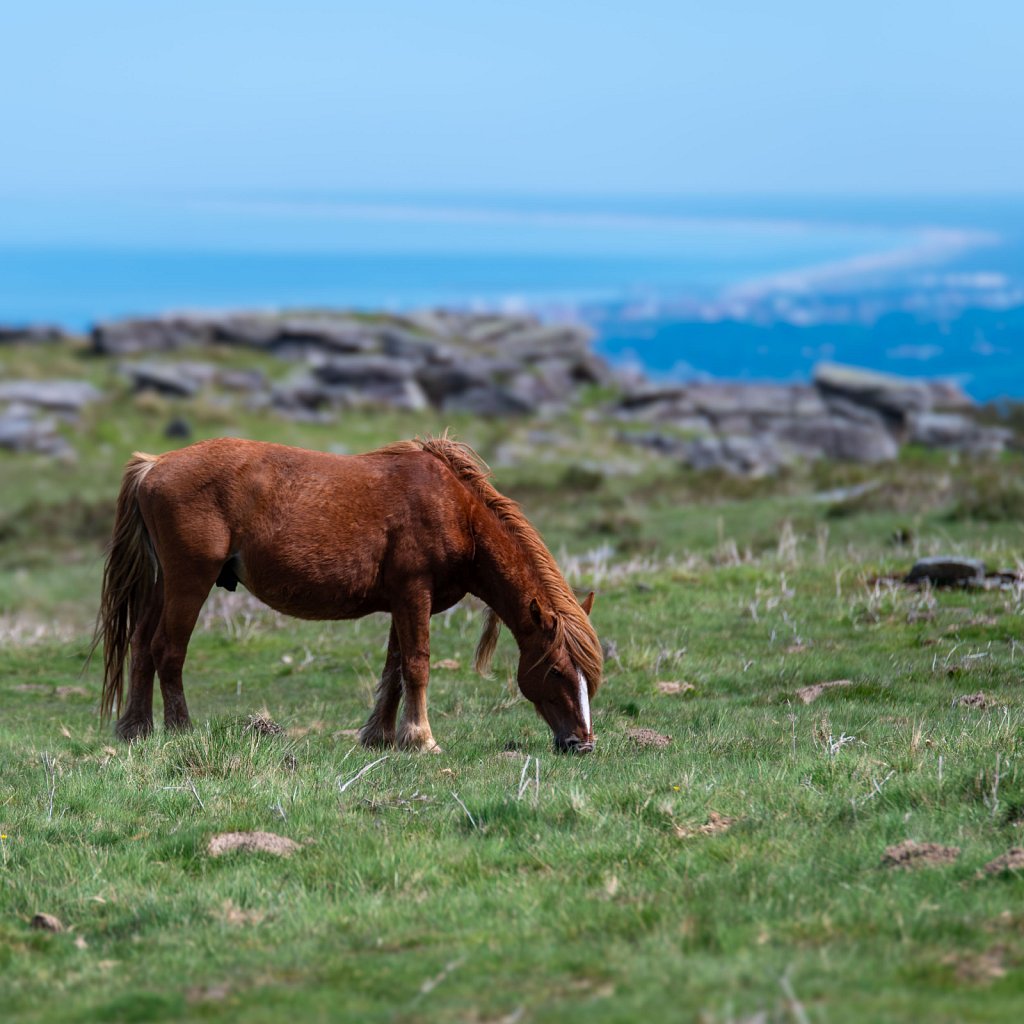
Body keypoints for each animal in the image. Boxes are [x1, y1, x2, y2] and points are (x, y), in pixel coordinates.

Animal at [96, 434, 598, 753]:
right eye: (556, 670)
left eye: (590, 679)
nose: (582, 743)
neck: (456, 510)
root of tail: (154, 465)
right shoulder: (414, 594)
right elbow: (416, 665)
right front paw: (422, 739)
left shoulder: (404, 601)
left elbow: (395, 669)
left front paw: (382, 736)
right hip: (189, 581)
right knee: (168, 650)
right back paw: (181, 731)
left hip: (162, 585)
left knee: (142, 647)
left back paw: (135, 729)